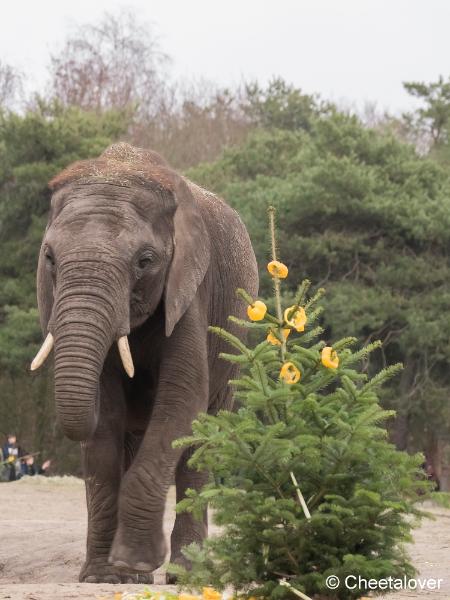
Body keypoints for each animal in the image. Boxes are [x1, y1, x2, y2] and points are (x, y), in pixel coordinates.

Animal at [31, 143, 258, 584]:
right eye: (49, 257)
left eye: (145, 260)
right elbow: (106, 421)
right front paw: (104, 577)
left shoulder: (190, 289)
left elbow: (181, 402)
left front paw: (135, 561)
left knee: (199, 446)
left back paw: (187, 575)